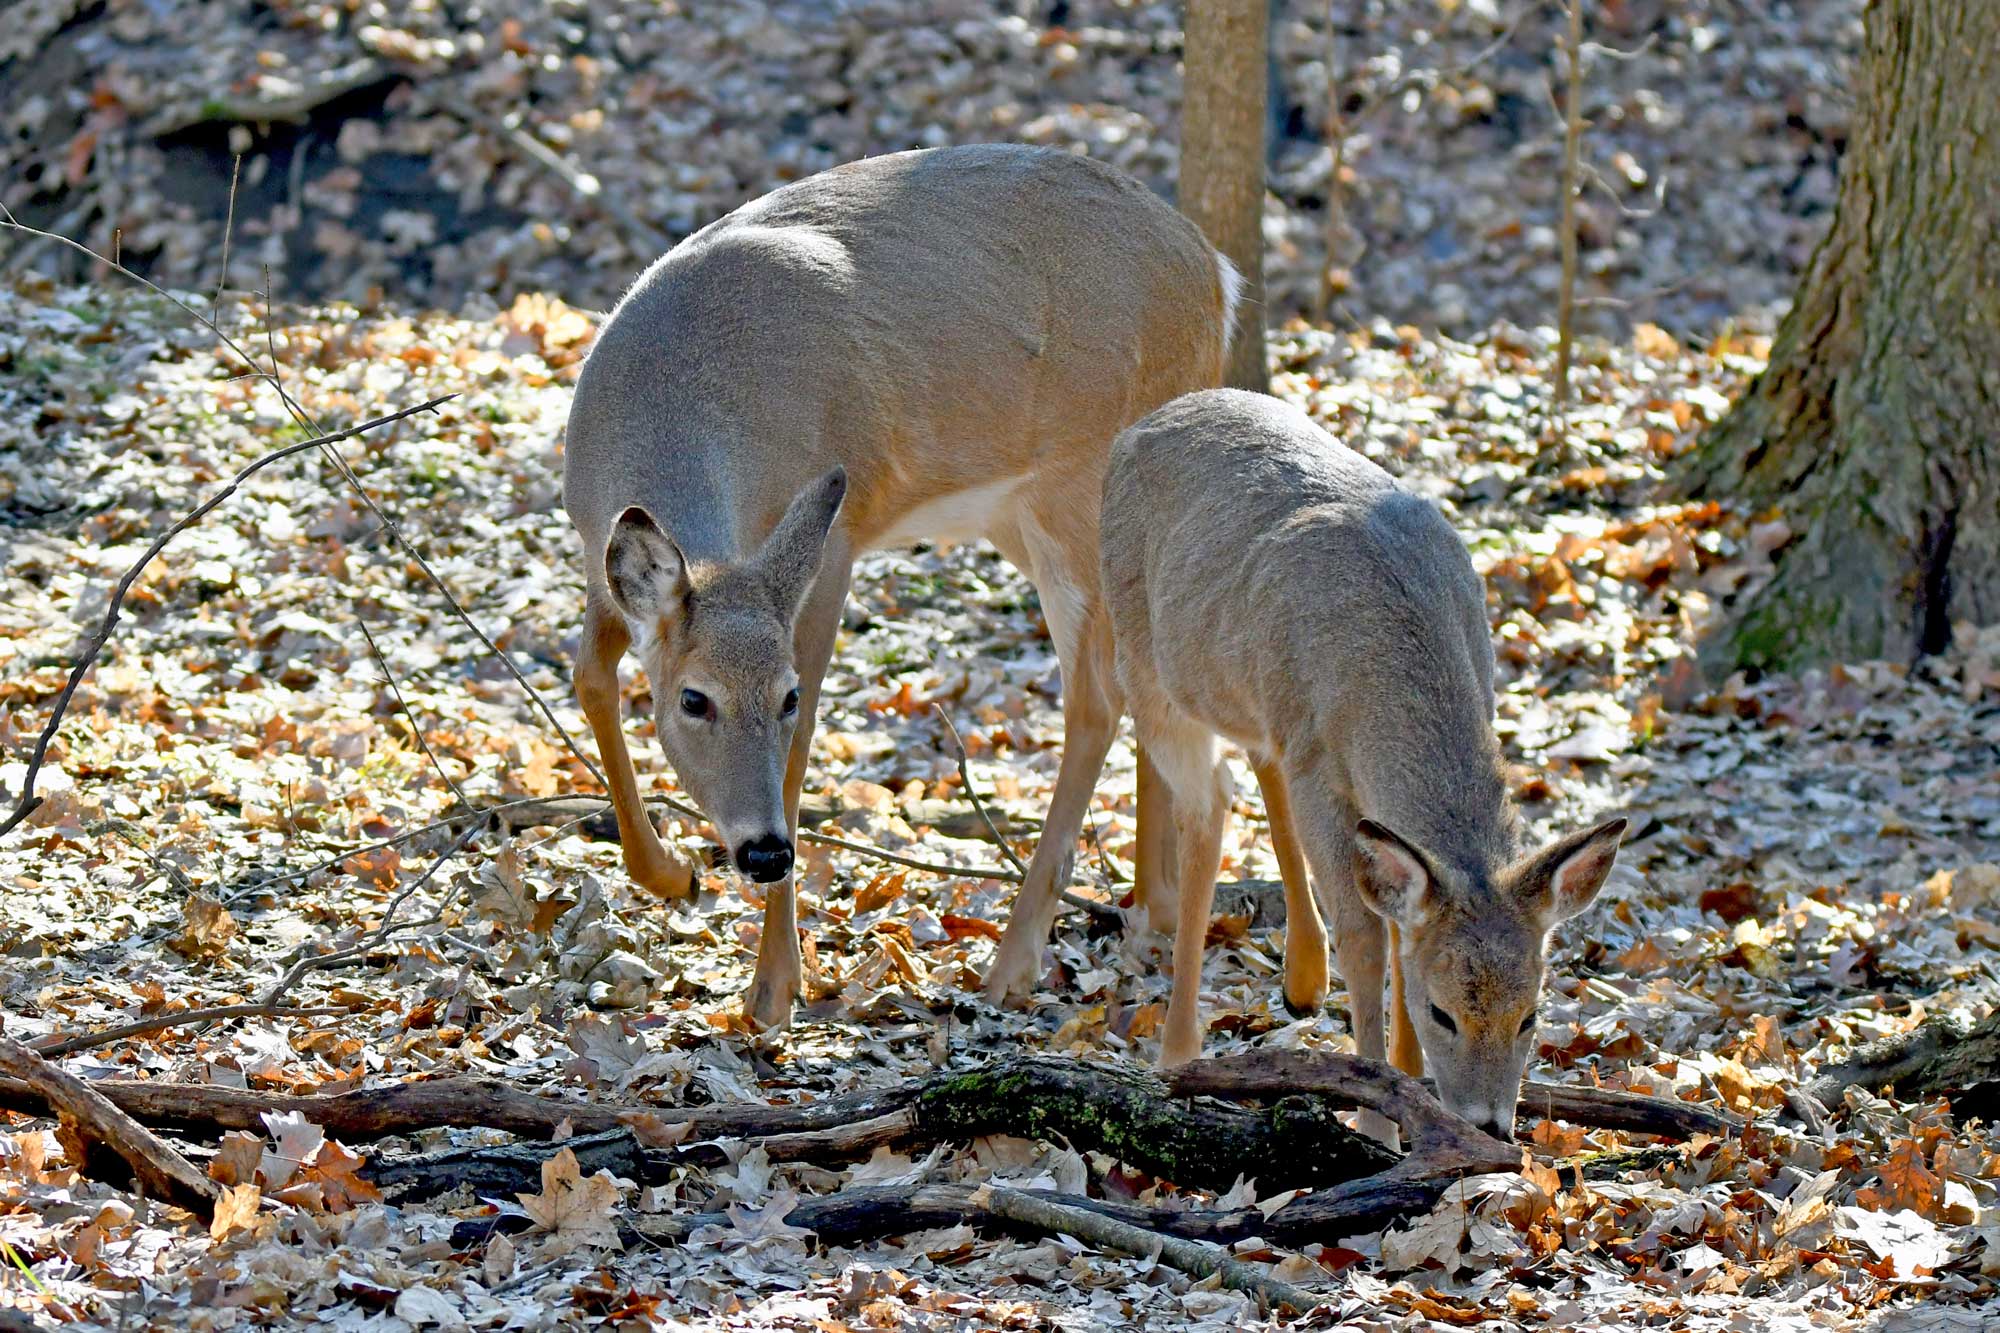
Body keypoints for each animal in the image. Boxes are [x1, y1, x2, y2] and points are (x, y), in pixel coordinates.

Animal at [561, 143, 1237, 1028]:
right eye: (693, 700)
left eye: (779, 696)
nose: (765, 851)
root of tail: (1217, 276)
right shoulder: (598, 555)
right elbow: (589, 678)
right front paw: (671, 872)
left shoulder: (835, 542)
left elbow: (801, 750)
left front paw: (774, 987)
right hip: (1021, 513)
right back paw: (1151, 907)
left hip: (1079, 488)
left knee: (1099, 693)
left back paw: (1014, 960)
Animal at [1099, 388, 1627, 1145]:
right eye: (1444, 1013)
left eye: (1530, 1014)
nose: (1491, 1124)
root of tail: (1144, 422)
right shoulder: (1318, 760)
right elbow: (1367, 935)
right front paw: (1378, 1114)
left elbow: (1401, 922)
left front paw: (1405, 1085)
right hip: (1145, 660)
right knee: (1208, 802)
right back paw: (1178, 1050)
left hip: (1256, 703)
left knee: (1254, 771)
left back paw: (1301, 978)